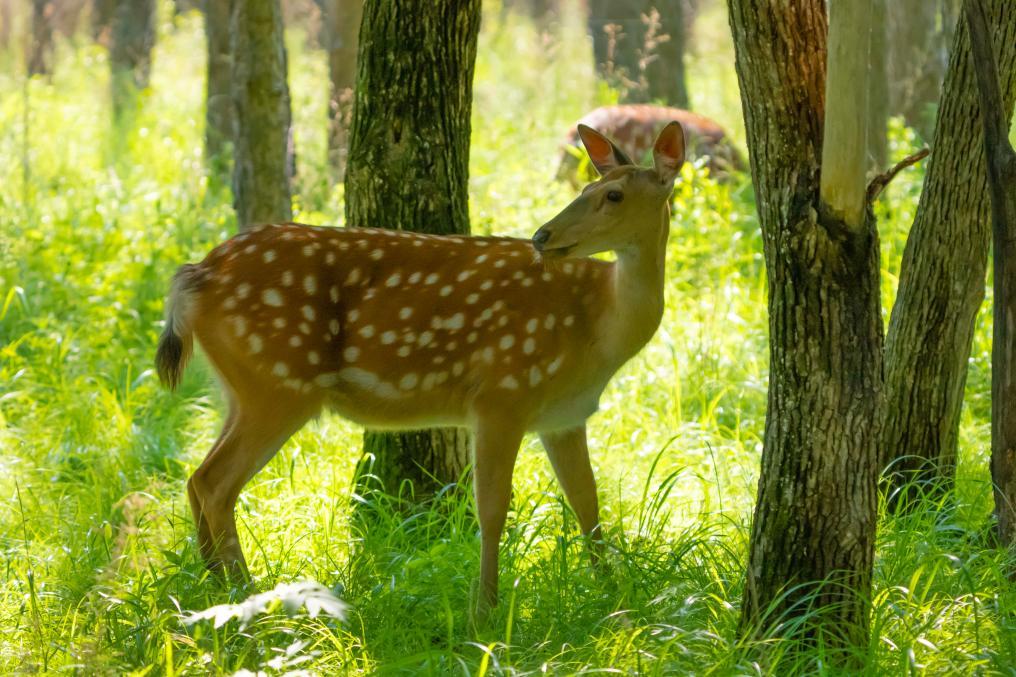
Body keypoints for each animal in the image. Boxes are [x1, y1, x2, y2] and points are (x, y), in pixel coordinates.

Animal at [154, 118, 686, 613]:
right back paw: (245, 595)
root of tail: (195, 274)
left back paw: (213, 589)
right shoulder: (502, 392)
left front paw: (616, 600)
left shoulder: (565, 417)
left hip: (242, 387)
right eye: (585, 190)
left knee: (196, 479)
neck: (597, 329)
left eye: (613, 194)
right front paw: (484, 613)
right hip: (278, 382)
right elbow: (493, 510)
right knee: (215, 483)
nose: (542, 236)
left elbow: (587, 505)